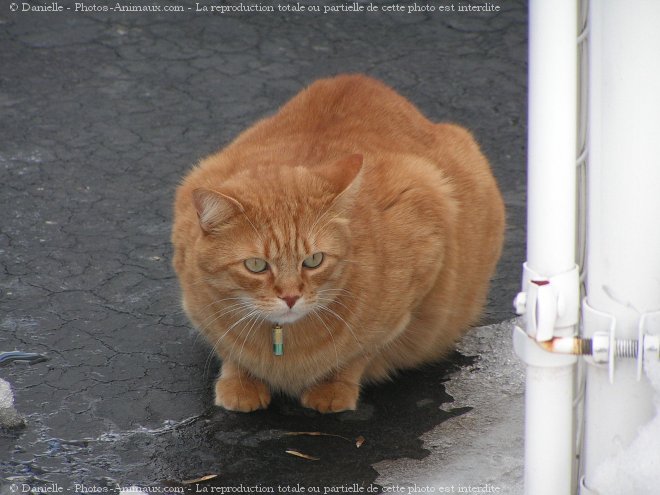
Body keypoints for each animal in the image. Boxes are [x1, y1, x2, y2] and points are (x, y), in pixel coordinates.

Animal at [171, 73, 506, 414]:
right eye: (256, 265)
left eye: (313, 260)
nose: (290, 297)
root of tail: (360, 80)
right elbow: (229, 351)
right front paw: (241, 380)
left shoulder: (424, 251)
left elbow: (359, 354)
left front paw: (332, 388)